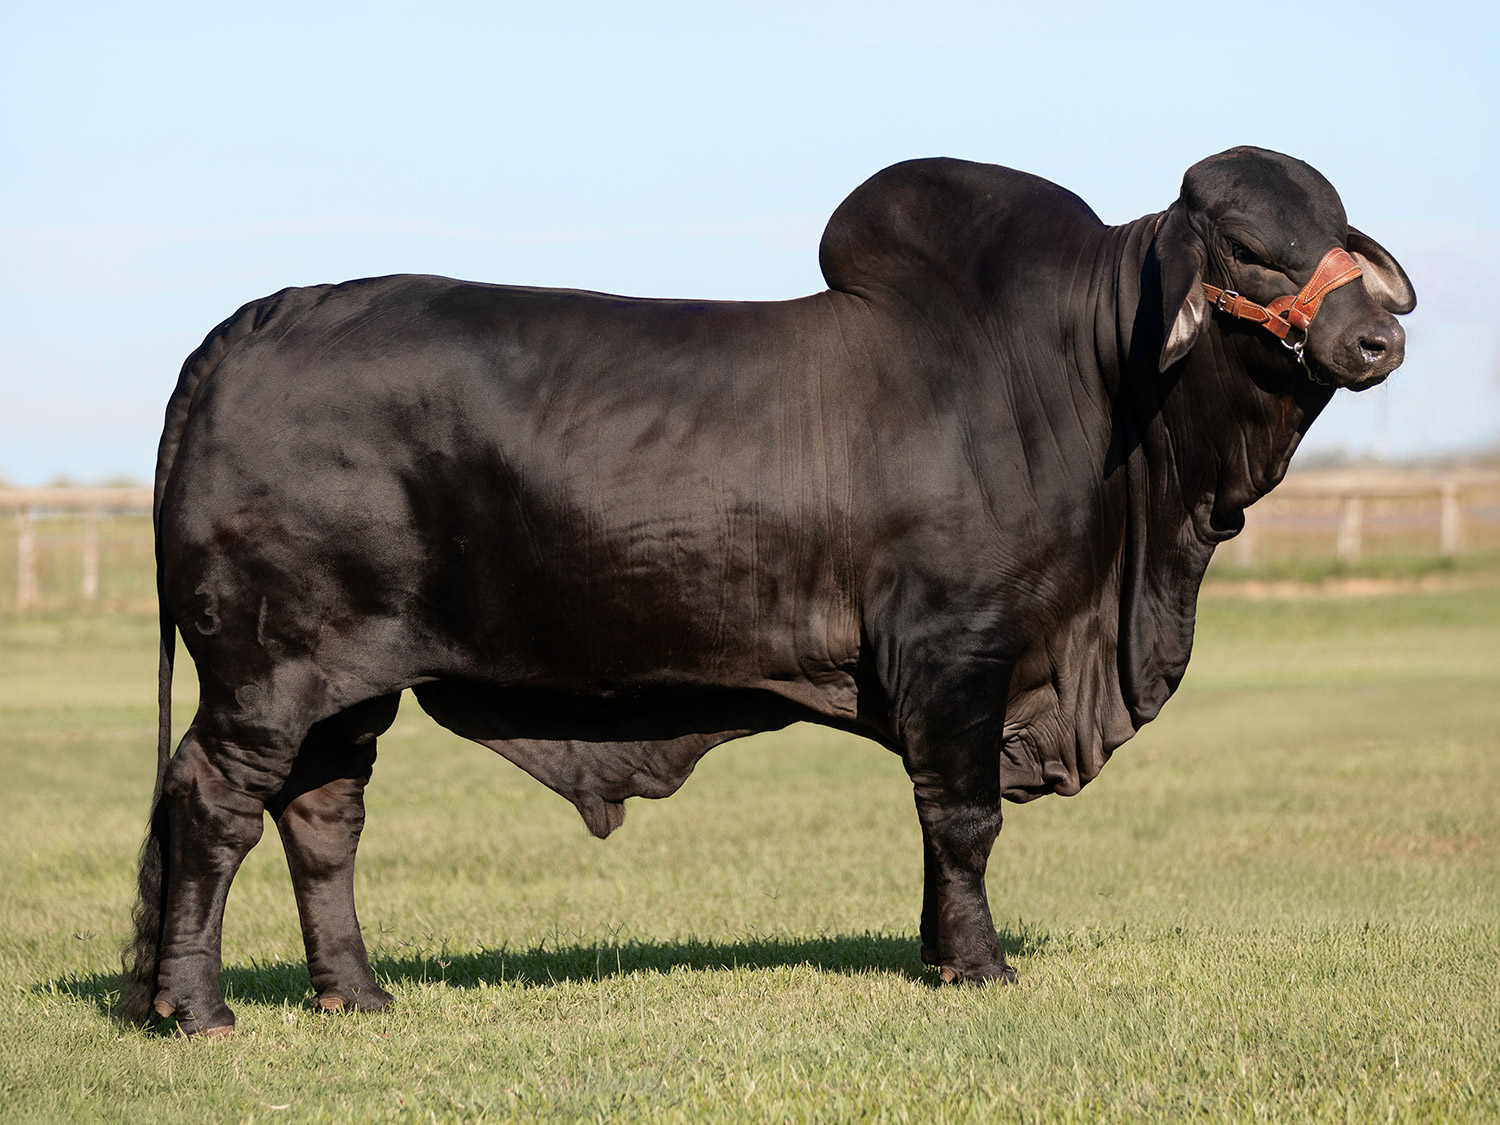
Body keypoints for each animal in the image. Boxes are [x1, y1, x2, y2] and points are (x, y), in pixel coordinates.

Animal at [122, 146, 1414, 1035]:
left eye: (1337, 230)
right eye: (1244, 244)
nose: (1375, 341)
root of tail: (249, 327)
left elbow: (940, 823)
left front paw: (938, 954)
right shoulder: (960, 651)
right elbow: (964, 818)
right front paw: (976, 964)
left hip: (350, 687)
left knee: (322, 819)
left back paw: (356, 992)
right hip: (265, 669)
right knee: (211, 803)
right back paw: (197, 1009)